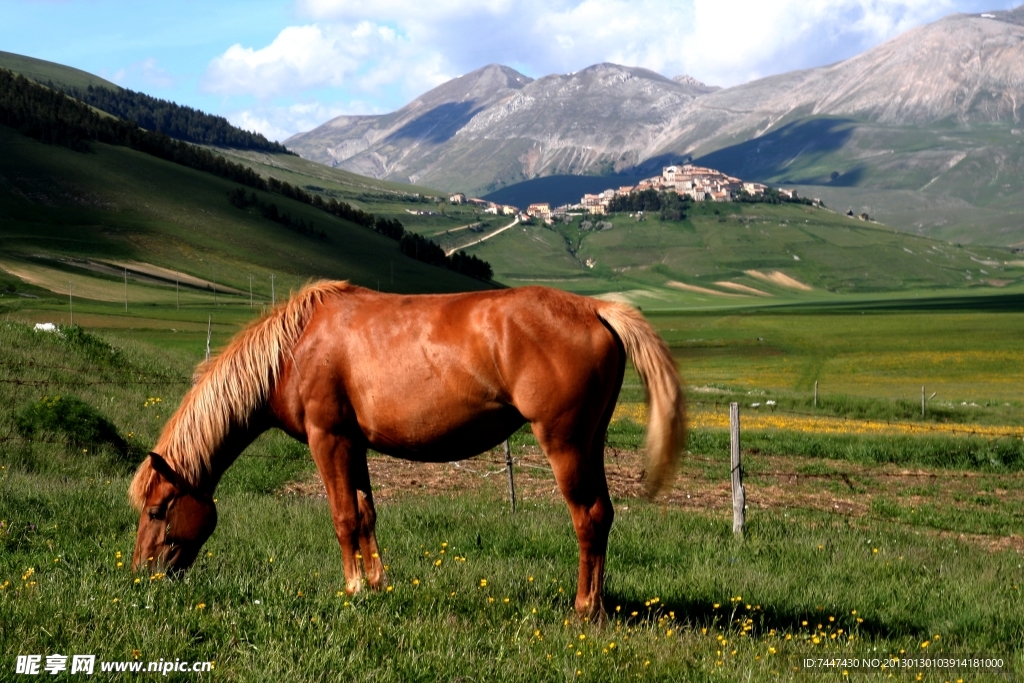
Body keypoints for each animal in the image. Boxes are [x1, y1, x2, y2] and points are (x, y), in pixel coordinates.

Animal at [130, 280, 688, 622]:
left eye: (159, 510)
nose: (139, 575)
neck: (294, 349)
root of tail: (595, 307)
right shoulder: (353, 444)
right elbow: (365, 513)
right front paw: (377, 584)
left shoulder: (328, 438)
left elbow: (342, 517)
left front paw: (353, 588)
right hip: (589, 444)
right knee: (604, 514)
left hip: (565, 444)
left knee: (587, 518)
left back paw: (584, 608)